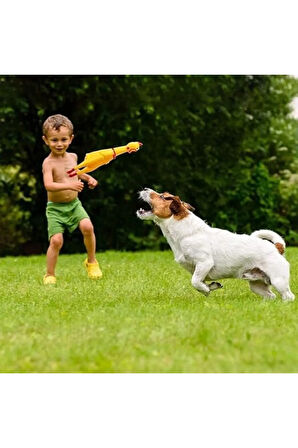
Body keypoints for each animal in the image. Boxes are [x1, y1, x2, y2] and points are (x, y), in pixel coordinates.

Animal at [138, 189, 296, 300]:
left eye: (163, 196)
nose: (145, 188)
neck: (185, 232)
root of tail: (277, 247)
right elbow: (200, 282)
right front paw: (212, 286)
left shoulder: (204, 263)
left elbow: (195, 281)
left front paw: (207, 289)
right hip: (257, 285)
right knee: (271, 296)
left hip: (278, 280)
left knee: (289, 296)